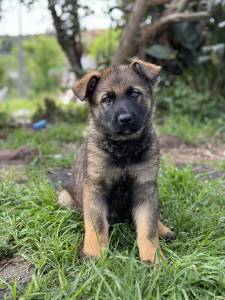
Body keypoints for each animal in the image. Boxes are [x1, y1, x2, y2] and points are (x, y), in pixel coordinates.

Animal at [58, 59, 176, 264]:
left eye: (135, 94)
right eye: (107, 99)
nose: (125, 119)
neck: (124, 149)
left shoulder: (145, 187)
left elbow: (148, 226)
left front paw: (152, 257)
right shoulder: (95, 189)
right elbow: (97, 225)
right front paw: (94, 254)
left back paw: (163, 229)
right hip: (64, 198)